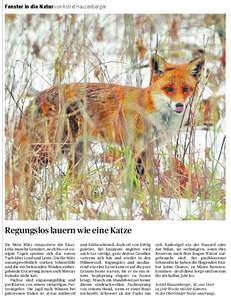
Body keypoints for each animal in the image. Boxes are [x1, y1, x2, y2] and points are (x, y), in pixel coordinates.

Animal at [5, 53, 204, 195]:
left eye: (186, 89)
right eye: (168, 89)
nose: (179, 106)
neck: (154, 115)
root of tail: (39, 96)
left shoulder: (147, 150)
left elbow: (140, 179)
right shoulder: (131, 147)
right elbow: (132, 179)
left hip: (77, 153)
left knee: (69, 178)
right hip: (51, 149)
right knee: (19, 169)